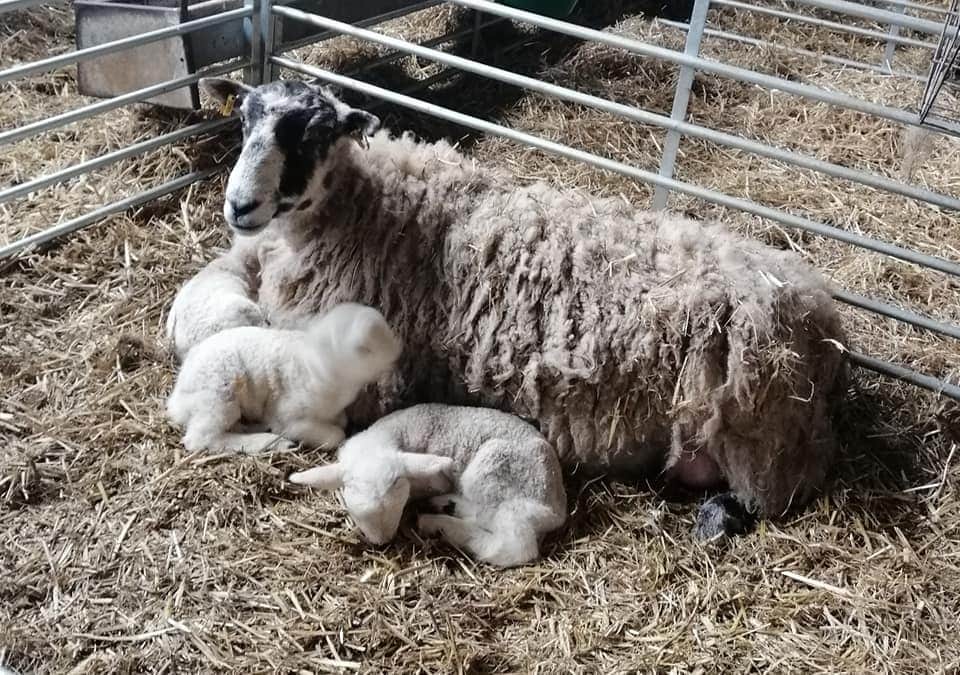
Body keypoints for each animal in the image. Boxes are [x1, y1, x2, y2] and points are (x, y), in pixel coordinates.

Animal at [167, 302, 400, 454]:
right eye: (365, 348)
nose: (397, 352)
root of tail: (176, 401)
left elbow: (341, 420)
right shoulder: (289, 417)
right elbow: (335, 435)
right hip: (218, 397)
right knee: (202, 439)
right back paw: (269, 442)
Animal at [195, 76, 848, 540]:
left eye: (310, 134)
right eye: (244, 121)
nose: (240, 206)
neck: (375, 211)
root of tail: (822, 320)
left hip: (759, 444)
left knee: (762, 500)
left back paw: (714, 520)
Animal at [286, 404, 568, 568]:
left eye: (397, 507)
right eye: (356, 513)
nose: (382, 544)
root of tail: (556, 508)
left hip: (497, 473)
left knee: (512, 545)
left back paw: (441, 525)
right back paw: (447, 507)